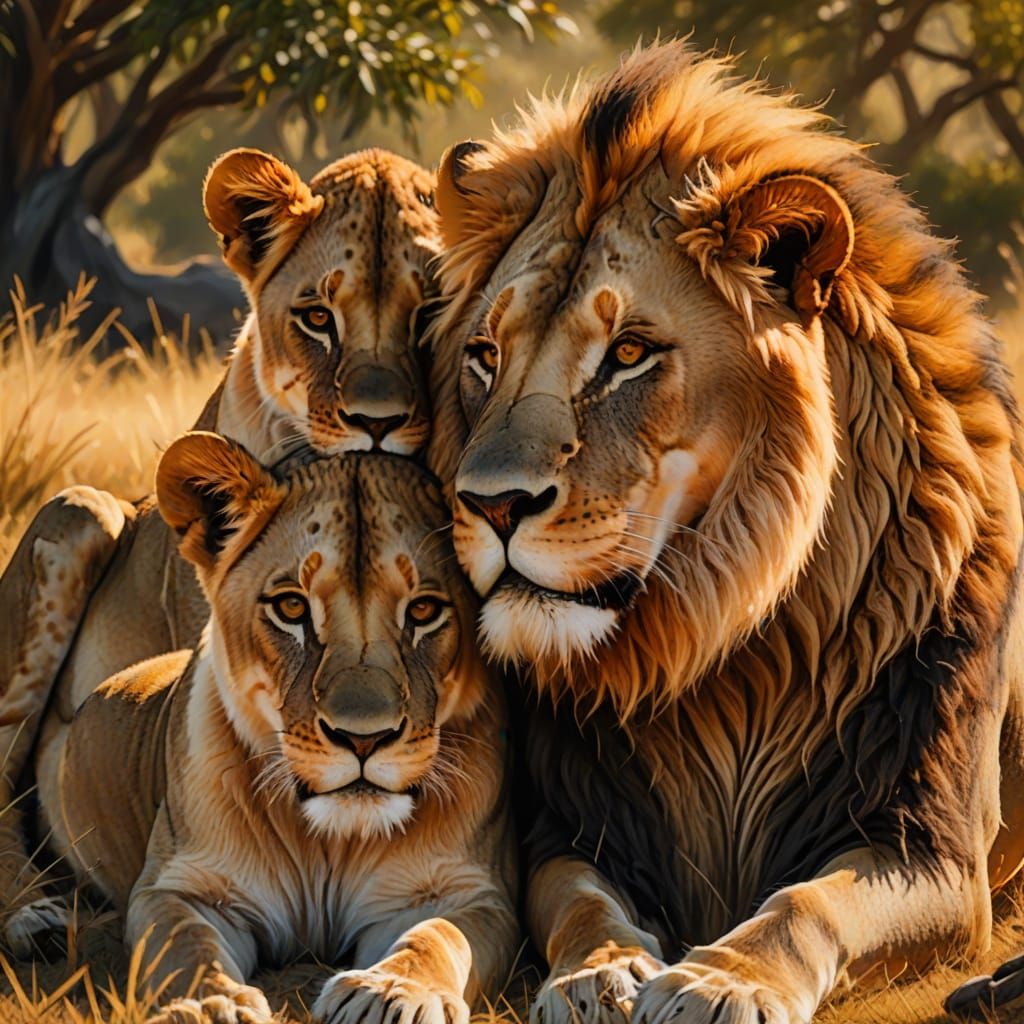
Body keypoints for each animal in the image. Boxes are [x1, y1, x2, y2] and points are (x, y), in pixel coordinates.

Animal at [30, 431, 515, 1024]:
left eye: (423, 611)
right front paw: (210, 1004)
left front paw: (391, 994)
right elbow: (186, 945)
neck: (327, 845)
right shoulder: (183, 889)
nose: (363, 739)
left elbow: (438, 937)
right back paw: (34, 924)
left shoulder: (466, 893)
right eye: (290, 607)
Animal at [427, 40, 1024, 1023]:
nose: (491, 505)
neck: (724, 645)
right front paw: (597, 976)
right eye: (485, 355)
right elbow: (584, 907)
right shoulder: (578, 828)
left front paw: (721, 980)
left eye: (629, 353)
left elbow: (809, 904)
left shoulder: (931, 844)